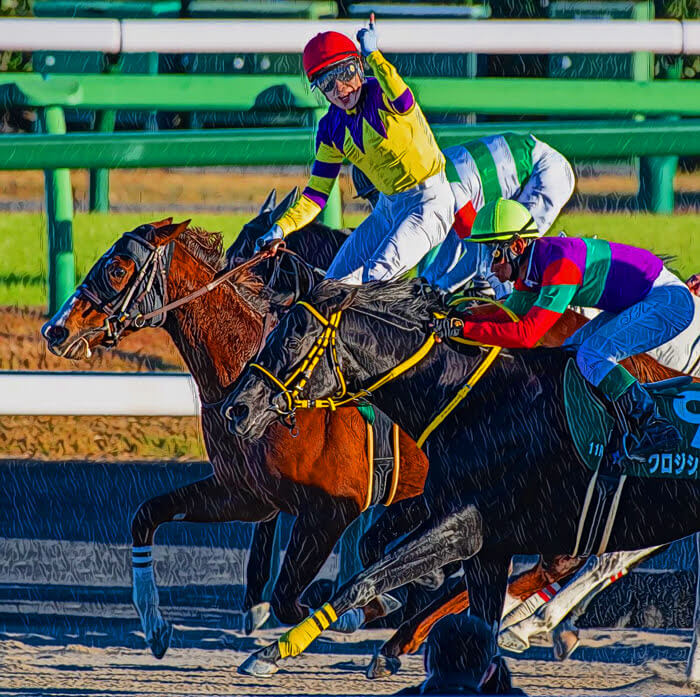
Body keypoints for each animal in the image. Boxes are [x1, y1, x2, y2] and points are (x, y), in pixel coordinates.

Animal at [225, 277, 700, 689]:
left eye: (291, 340)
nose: (237, 408)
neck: (473, 401)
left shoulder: (465, 526)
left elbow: (364, 580)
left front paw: (271, 653)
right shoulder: (487, 545)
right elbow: (470, 616)